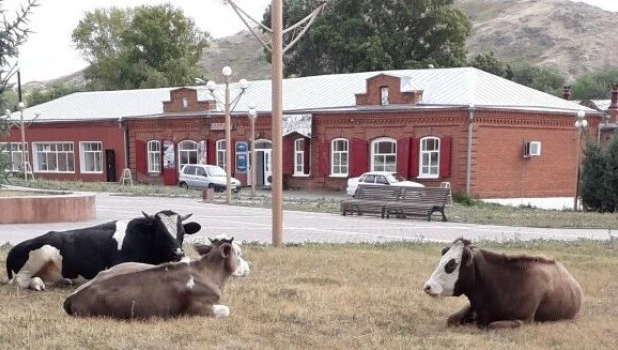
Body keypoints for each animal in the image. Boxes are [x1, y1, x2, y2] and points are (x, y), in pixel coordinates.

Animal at [6, 211, 201, 290]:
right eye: (160, 233)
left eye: (182, 233)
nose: (177, 253)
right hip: (40, 254)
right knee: (20, 280)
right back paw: (36, 284)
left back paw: (63, 281)